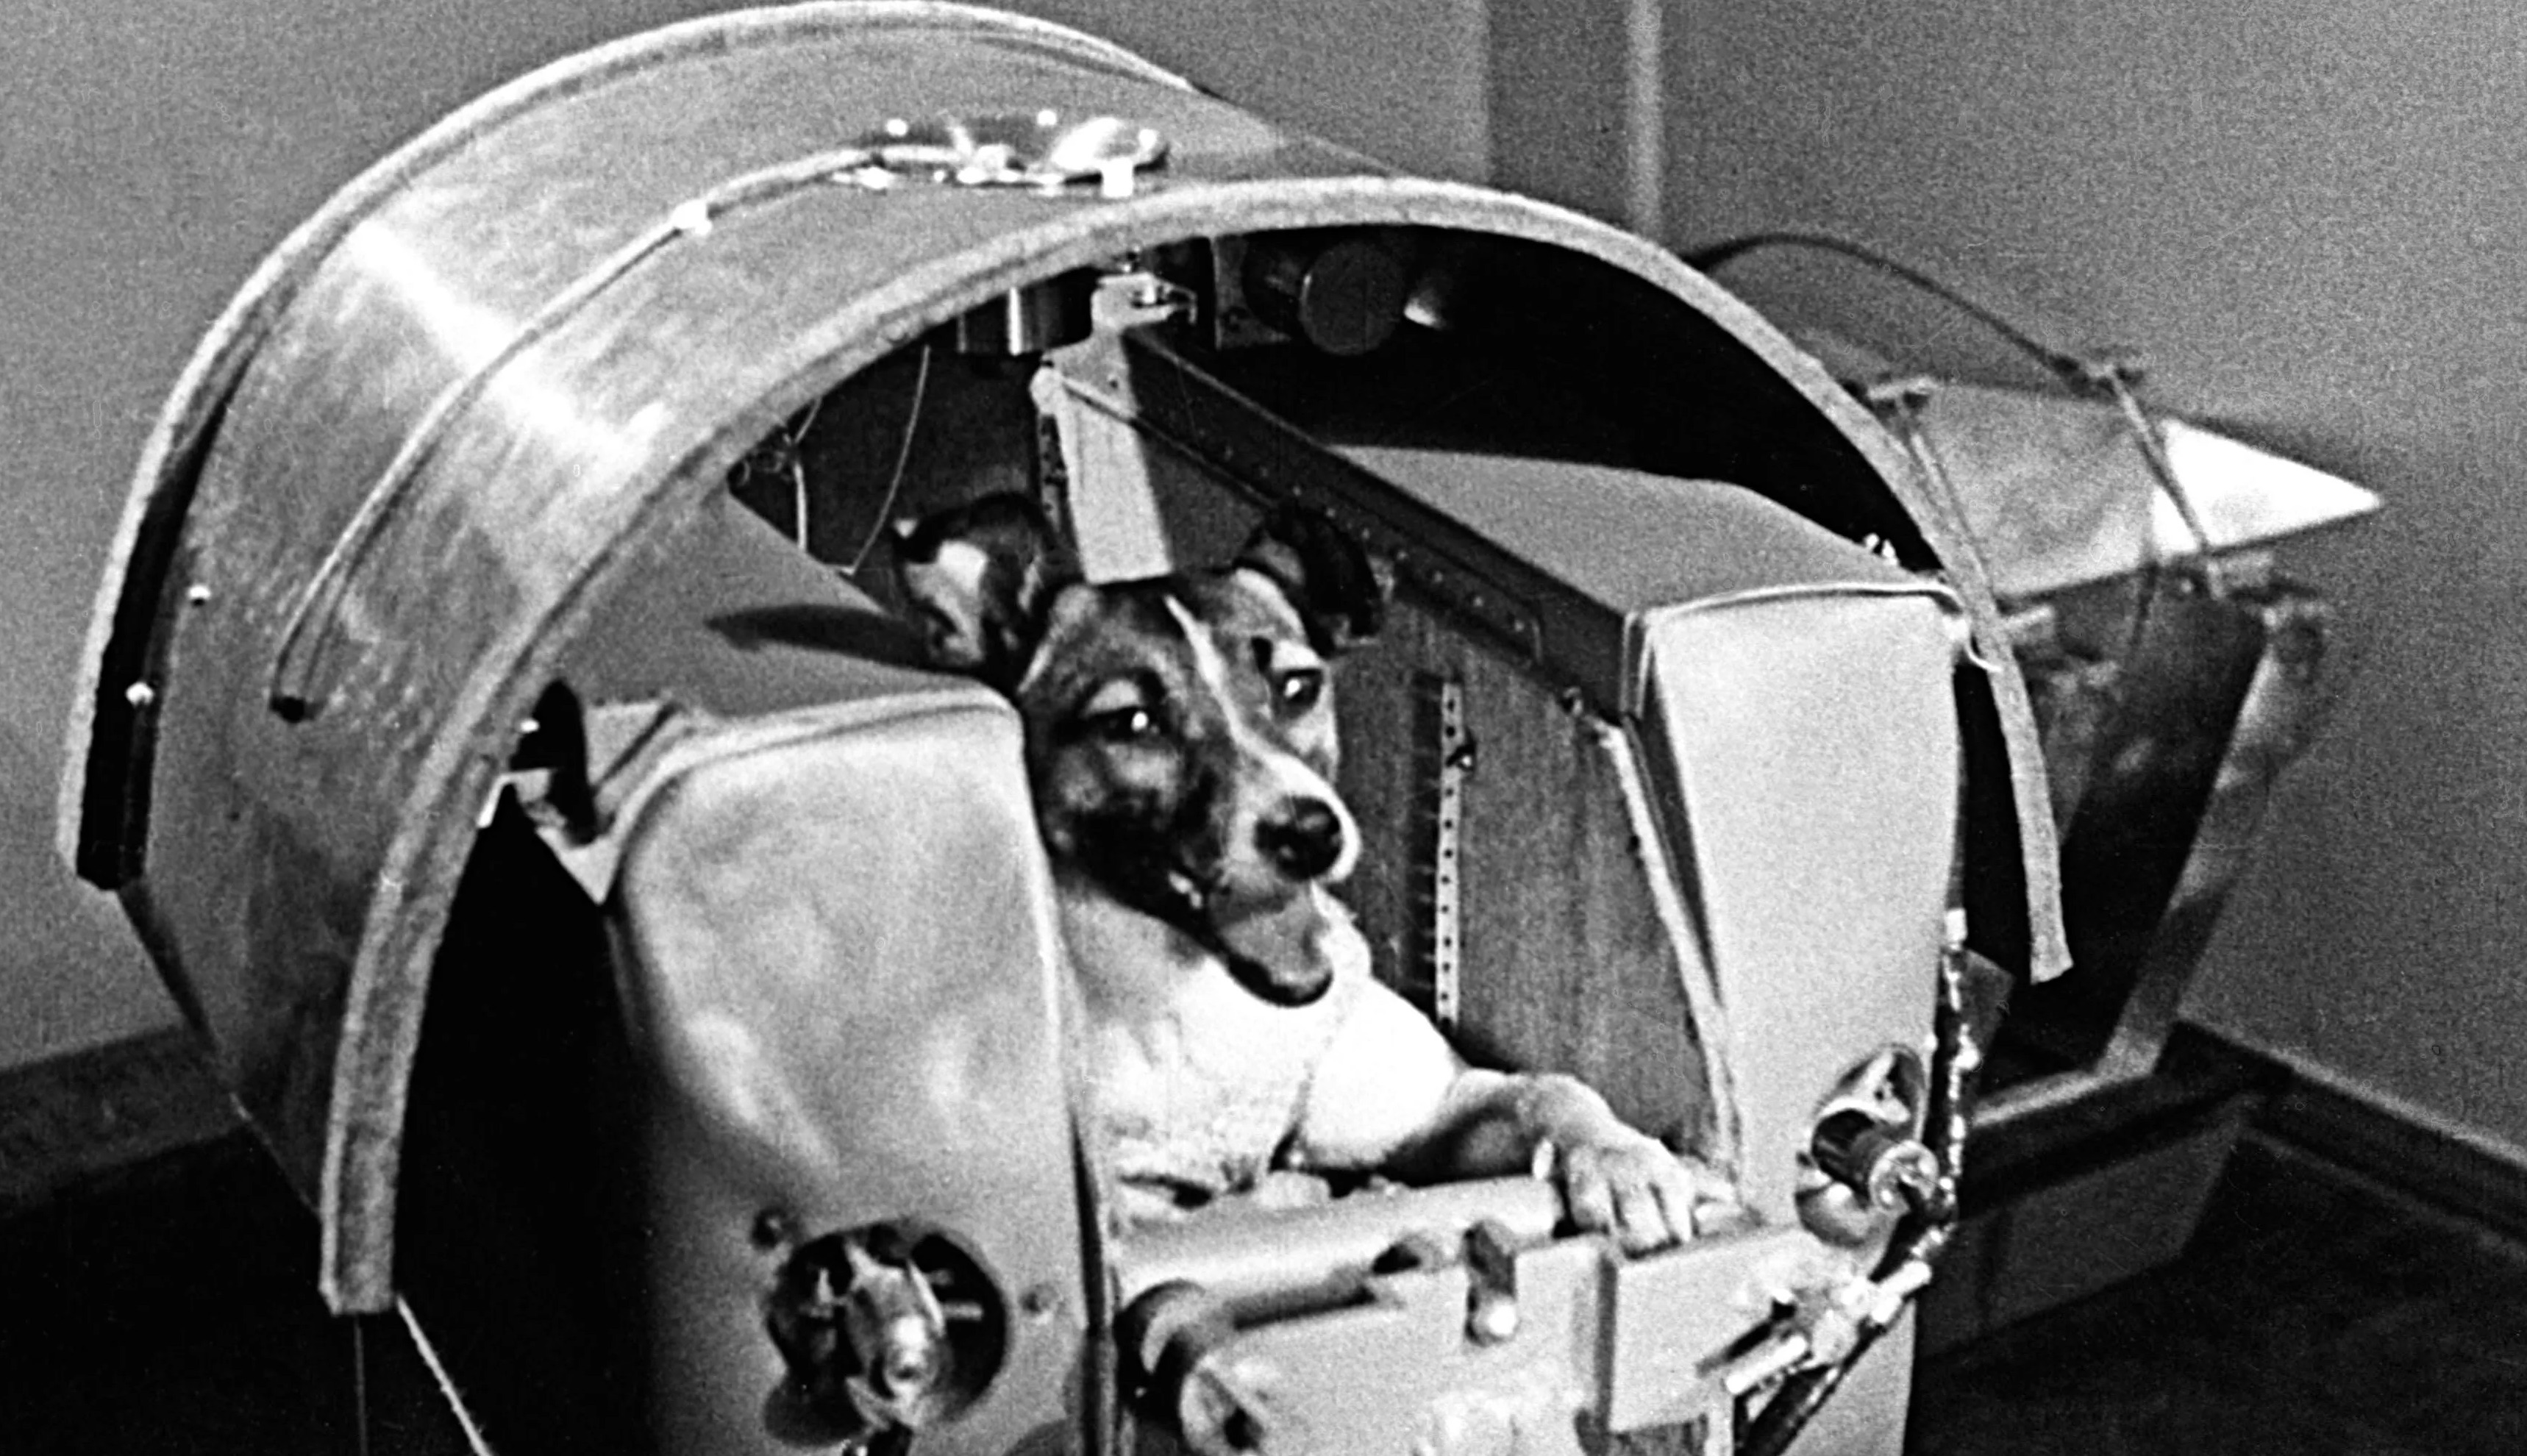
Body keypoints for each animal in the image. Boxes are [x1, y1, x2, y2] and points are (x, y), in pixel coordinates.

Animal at [897, 494, 1707, 1253]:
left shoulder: (1436, 1103)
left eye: (1296, 686)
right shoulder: (1141, 1209)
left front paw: (1622, 1160)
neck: (1218, 1007)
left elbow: (1552, 1091)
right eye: (1130, 723)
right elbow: (1231, 1208)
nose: (1311, 834)